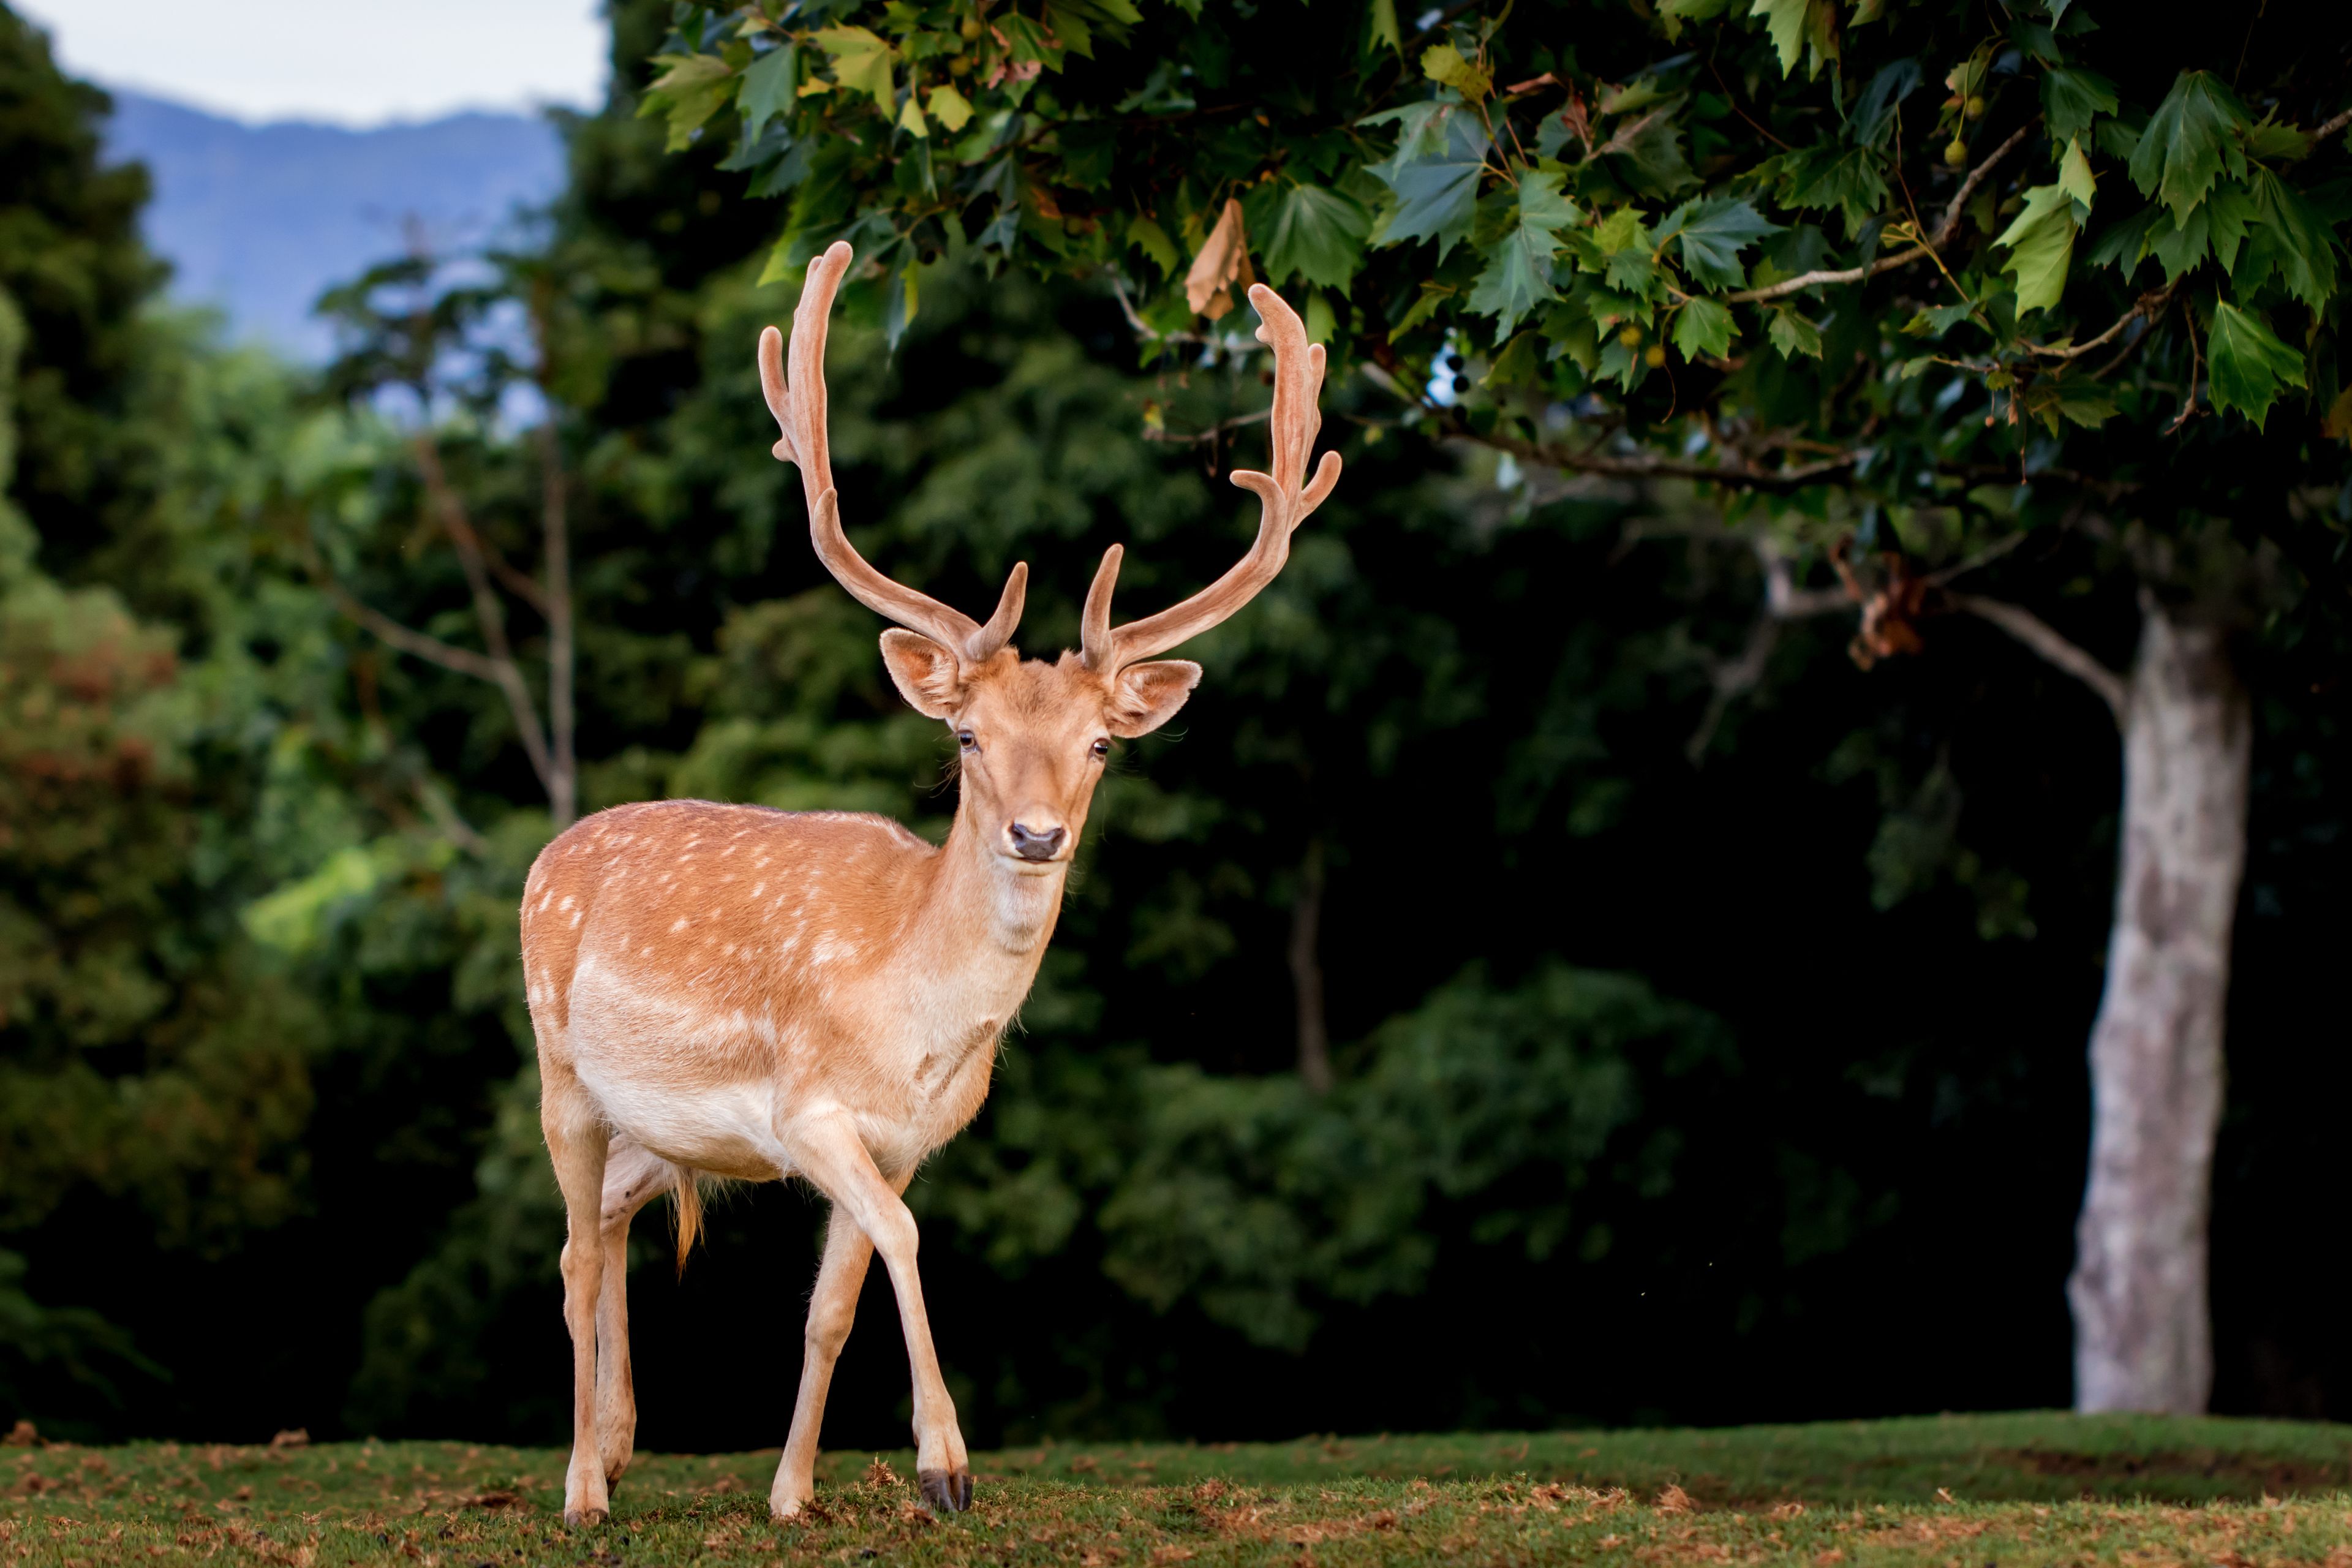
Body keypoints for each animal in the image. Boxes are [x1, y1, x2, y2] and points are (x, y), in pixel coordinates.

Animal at [518, 240, 1340, 1527]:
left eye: (1100, 745)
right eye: (966, 738)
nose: (1036, 835)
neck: (916, 1032)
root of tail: (549, 857)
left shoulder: (907, 1138)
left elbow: (831, 1305)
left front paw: (792, 1494)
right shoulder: (806, 1109)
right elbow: (903, 1240)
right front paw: (946, 1467)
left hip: (657, 1131)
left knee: (605, 1231)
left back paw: (615, 1447)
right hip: (560, 1070)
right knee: (567, 1257)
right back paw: (581, 1495)